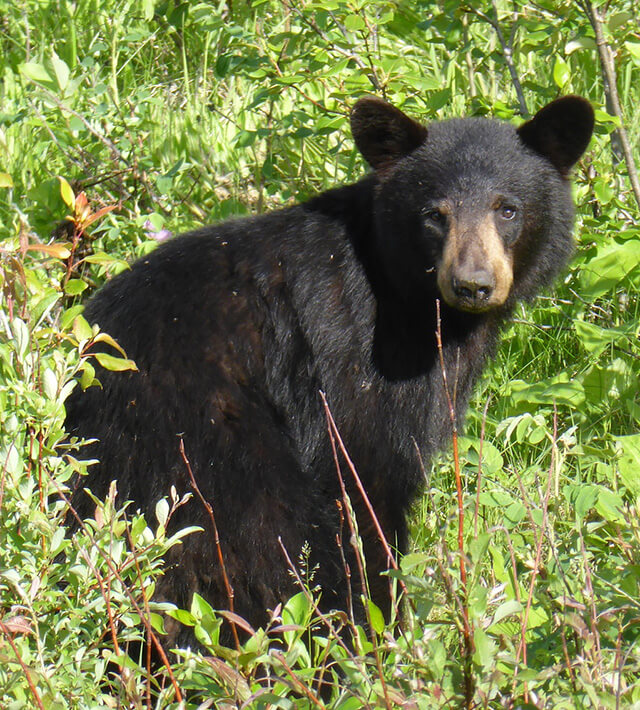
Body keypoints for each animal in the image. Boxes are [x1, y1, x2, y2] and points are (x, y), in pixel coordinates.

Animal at [66, 96, 596, 652]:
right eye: (434, 215)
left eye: (507, 208)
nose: (472, 284)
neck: (406, 298)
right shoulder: (353, 358)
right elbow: (367, 479)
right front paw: (387, 628)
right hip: (205, 454)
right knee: (265, 542)